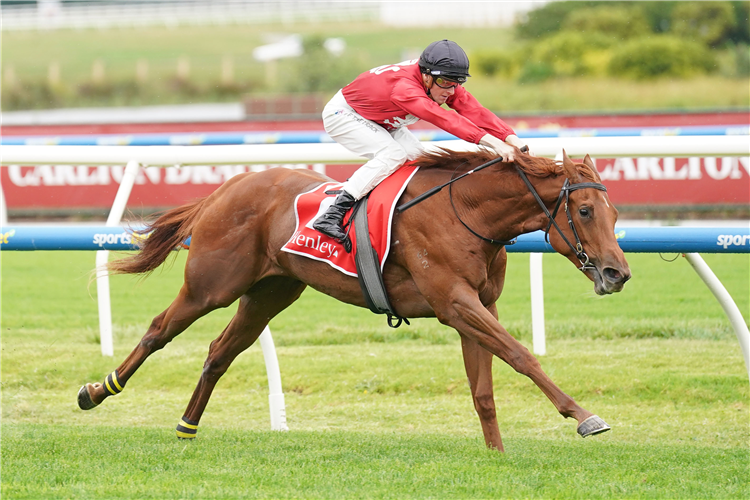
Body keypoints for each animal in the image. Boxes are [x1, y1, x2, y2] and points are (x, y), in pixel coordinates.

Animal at [78, 146, 628, 452]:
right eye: (583, 210)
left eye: (615, 213)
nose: (617, 273)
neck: (467, 212)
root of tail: (229, 185)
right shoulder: (455, 303)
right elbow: (520, 355)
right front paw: (585, 417)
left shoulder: (479, 305)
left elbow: (483, 388)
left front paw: (496, 453)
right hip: (211, 285)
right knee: (158, 330)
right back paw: (97, 390)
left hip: (269, 293)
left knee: (219, 353)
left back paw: (187, 426)